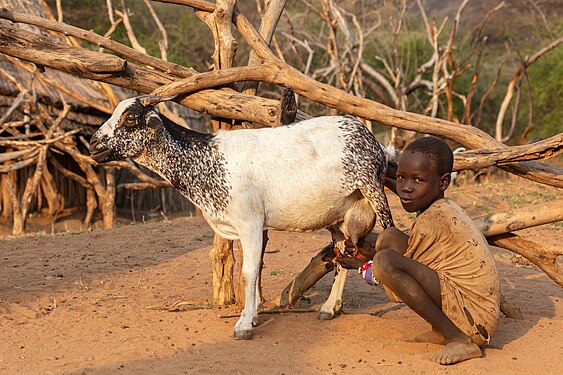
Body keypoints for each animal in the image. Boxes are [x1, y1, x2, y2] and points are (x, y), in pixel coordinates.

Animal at [89, 94, 396, 340]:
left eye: (130, 118)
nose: (93, 143)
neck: (207, 159)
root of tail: (376, 142)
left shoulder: (250, 222)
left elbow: (248, 272)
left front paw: (245, 323)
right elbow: (256, 268)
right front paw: (255, 312)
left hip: (374, 192)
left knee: (390, 231)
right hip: (340, 217)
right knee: (343, 255)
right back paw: (329, 308)